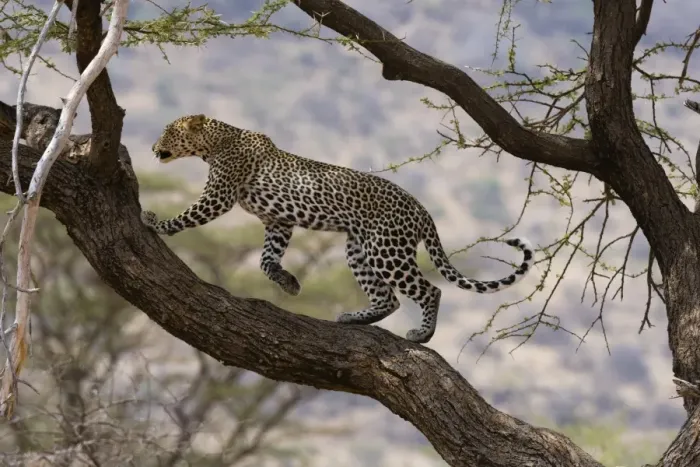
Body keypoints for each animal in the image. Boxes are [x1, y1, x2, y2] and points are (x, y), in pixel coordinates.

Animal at [140, 114, 535, 344]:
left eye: (167, 131)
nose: (152, 146)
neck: (216, 141)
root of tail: (420, 208)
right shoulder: (278, 222)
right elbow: (266, 260)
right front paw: (290, 283)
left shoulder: (219, 195)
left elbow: (189, 215)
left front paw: (156, 223)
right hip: (359, 248)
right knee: (389, 298)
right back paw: (353, 318)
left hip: (388, 249)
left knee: (429, 291)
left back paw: (422, 335)